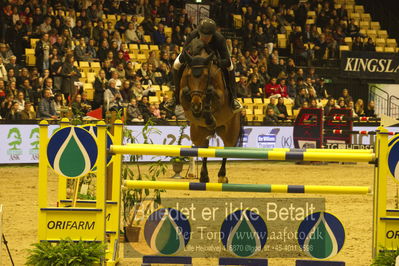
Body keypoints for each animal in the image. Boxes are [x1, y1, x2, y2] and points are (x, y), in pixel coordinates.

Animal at [180, 38, 242, 183]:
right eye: (189, 75)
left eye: (205, 76)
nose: (196, 105)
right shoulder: (183, 95)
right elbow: (185, 92)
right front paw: (198, 111)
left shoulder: (221, 96)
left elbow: (211, 92)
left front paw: (207, 113)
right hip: (198, 134)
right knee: (203, 150)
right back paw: (203, 176)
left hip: (230, 132)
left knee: (226, 150)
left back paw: (222, 176)